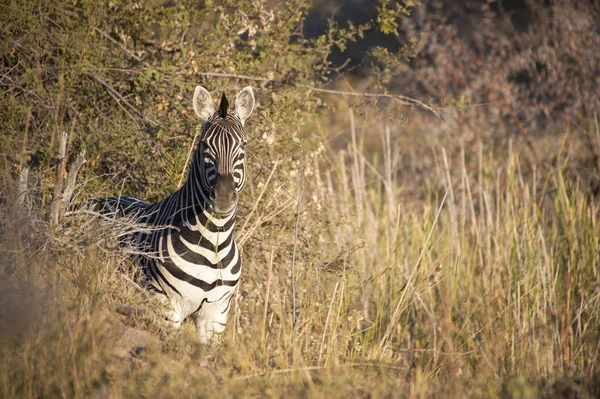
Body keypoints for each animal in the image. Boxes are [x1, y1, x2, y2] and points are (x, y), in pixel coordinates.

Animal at [99, 86, 254, 342]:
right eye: (204, 145)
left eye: (243, 145)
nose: (223, 197)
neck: (214, 242)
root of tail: (102, 199)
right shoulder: (166, 306)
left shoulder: (216, 316)